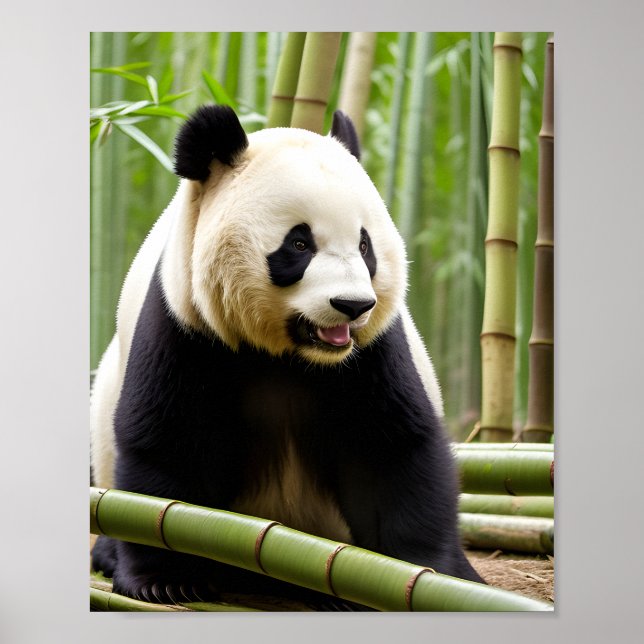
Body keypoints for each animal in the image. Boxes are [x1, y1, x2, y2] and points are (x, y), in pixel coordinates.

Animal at [90, 104, 484, 609]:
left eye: (365, 246)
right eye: (299, 244)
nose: (352, 305)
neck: (292, 356)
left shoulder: (372, 351)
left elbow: (393, 449)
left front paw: (420, 576)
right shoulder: (186, 324)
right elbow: (167, 446)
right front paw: (165, 579)